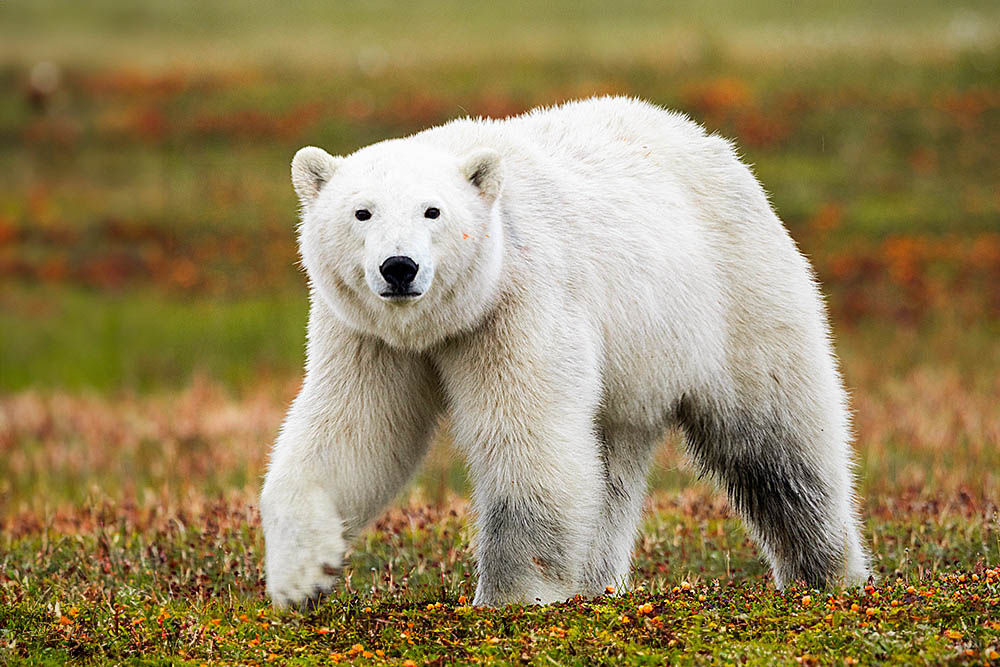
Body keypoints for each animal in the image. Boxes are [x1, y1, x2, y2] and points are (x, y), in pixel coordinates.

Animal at [262, 98, 872, 612]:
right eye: (362, 213)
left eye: (432, 211)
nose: (399, 267)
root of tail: (716, 145)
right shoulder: (364, 332)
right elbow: (353, 431)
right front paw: (300, 576)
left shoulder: (521, 300)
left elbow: (529, 439)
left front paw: (511, 598)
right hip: (635, 371)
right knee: (611, 467)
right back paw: (596, 585)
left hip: (735, 297)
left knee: (780, 442)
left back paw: (826, 575)